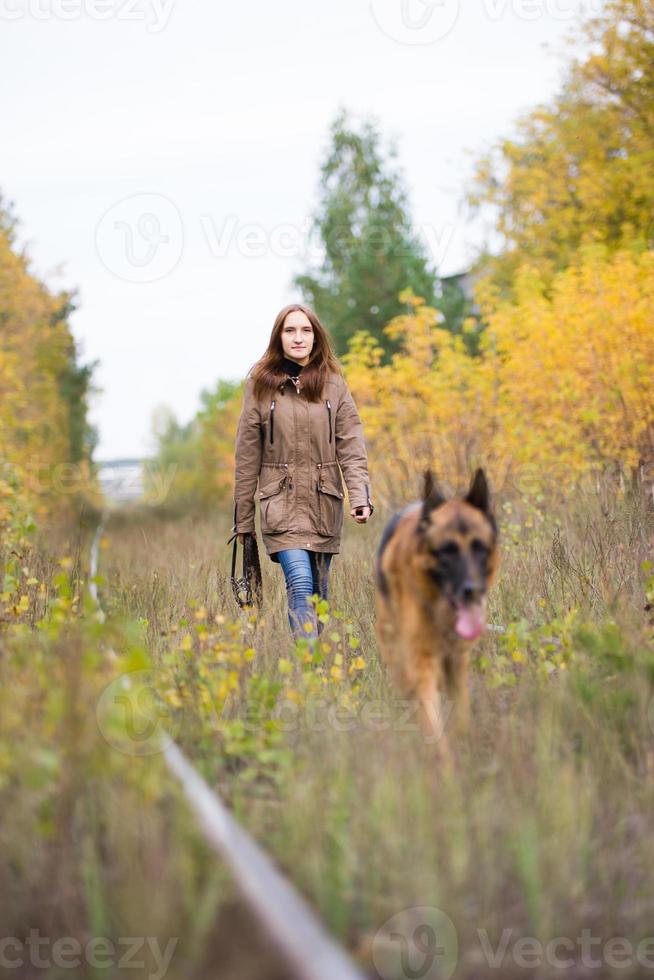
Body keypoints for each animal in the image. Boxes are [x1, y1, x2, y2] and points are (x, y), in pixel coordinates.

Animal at [376, 468, 500, 752]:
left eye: (480, 547)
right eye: (447, 551)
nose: (473, 590)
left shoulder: (457, 661)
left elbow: (461, 714)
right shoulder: (421, 664)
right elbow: (434, 731)